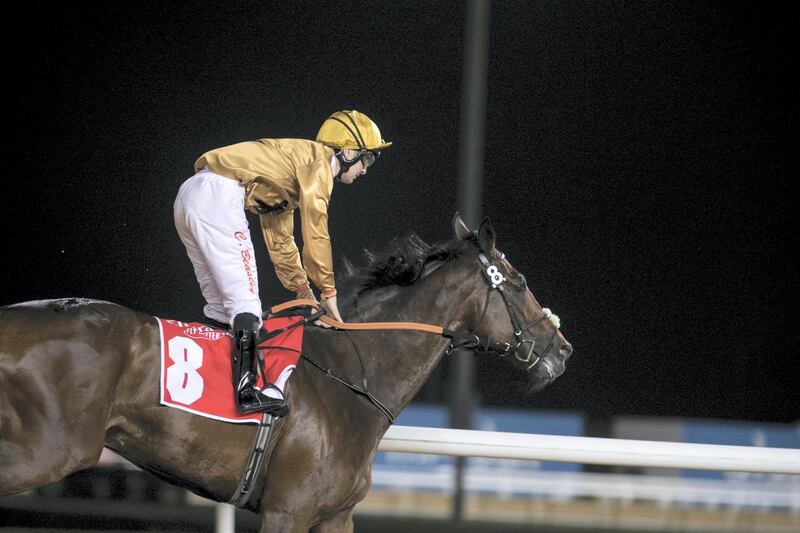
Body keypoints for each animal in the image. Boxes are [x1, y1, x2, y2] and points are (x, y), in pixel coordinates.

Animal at [1, 214, 576, 528]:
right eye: (520, 283)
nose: (562, 347)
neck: (355, 376)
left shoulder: (334, 515)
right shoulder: (290, 509)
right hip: (48, 450)